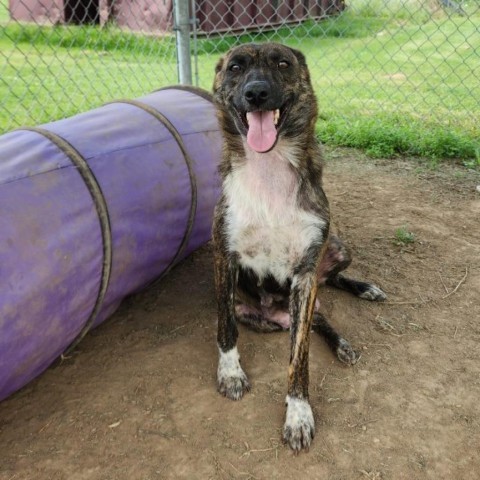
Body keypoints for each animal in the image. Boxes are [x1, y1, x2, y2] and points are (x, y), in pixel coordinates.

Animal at [212, 43, 384, 452]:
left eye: (282, 63)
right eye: (235, 67)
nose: (256, 93)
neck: (269, 172)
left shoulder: (306, 273)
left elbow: (299, 358)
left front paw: (299, 414)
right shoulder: (225, 257)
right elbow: (225, 329)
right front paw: (230, 374)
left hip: (337, 251)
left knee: (328, 292)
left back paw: (355, 312)